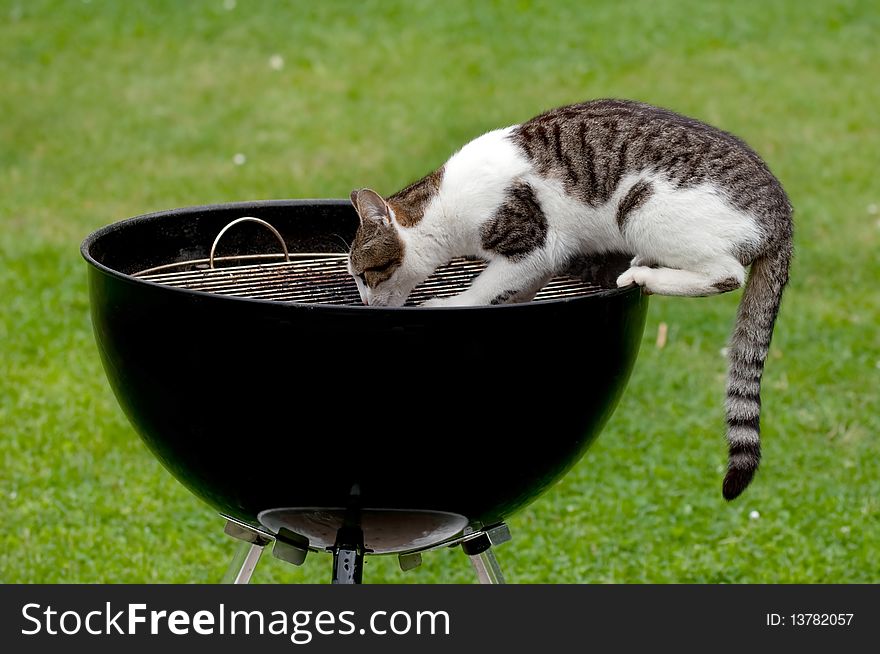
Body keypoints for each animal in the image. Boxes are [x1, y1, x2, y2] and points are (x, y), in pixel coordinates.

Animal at [348, 98, 796, 502]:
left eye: (364, 274)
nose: (365, 304)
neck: (440, 210)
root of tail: (782, 215)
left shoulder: (534, 243)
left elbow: (485, 285)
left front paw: (453, 305)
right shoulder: (547, 259)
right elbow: (516, 288)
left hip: (643, 207)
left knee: (727, 273)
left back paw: (642, 274)